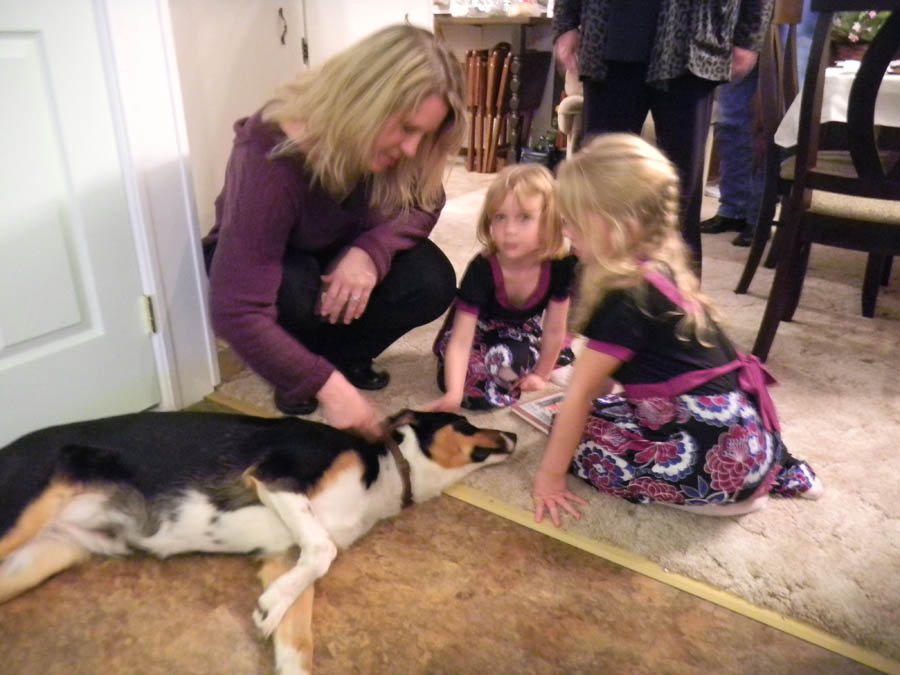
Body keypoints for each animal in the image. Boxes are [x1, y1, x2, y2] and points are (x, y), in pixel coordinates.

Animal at [0, 409, 516, 674]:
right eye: (467, 423)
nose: (512, 433)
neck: (387, 469)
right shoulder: (277, 477)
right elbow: (324, 552)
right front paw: (268, 607)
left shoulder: (286, 555)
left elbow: (298, 641)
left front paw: (275, 608)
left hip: (40, 556)